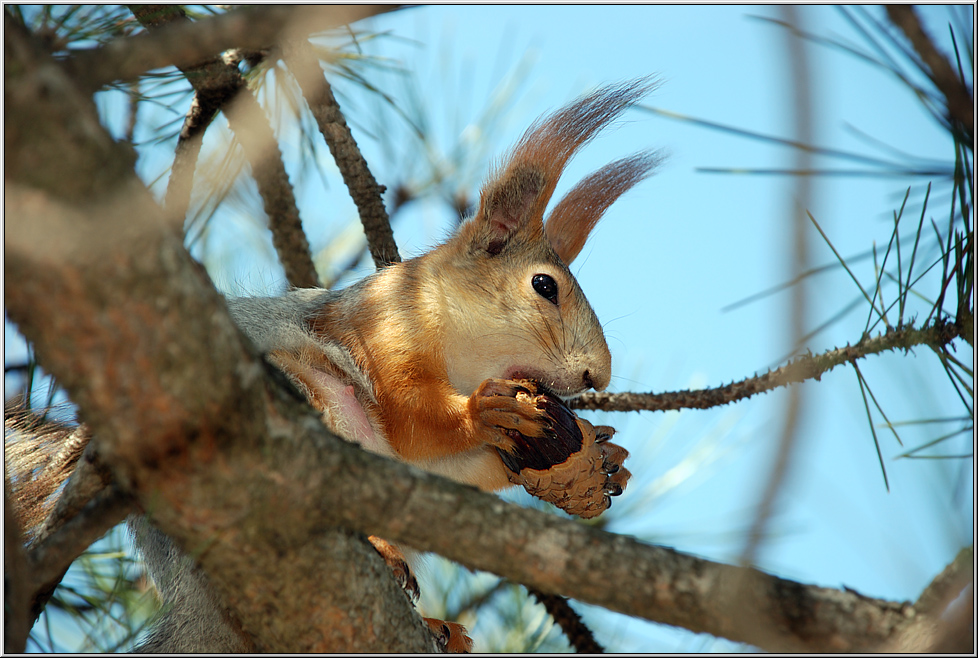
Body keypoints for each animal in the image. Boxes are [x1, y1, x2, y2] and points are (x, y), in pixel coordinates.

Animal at [5, 77, 656, 652]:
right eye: (544, 286)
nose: (599, 376)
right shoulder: (385, 332)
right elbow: (410, 416)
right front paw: (483, 411)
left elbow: (453, 469)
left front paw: (605, 455)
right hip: (312, 395)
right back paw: (386, 555)